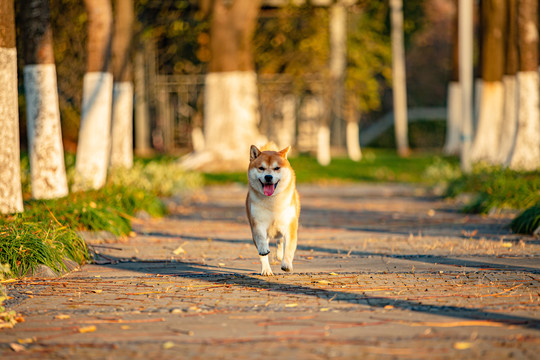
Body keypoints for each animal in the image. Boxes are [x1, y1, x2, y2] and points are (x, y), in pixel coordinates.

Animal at [247, 143, 302, 276]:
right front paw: (263, 250)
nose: (268, 177)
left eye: (276, 168)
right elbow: (261, 239)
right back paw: (266, 270)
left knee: (280, 241)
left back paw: (279, 255)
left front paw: (286, 264)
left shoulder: (290, 225)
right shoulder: (257, 222)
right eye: (261, 168)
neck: (272, 202)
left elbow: (288, 248)